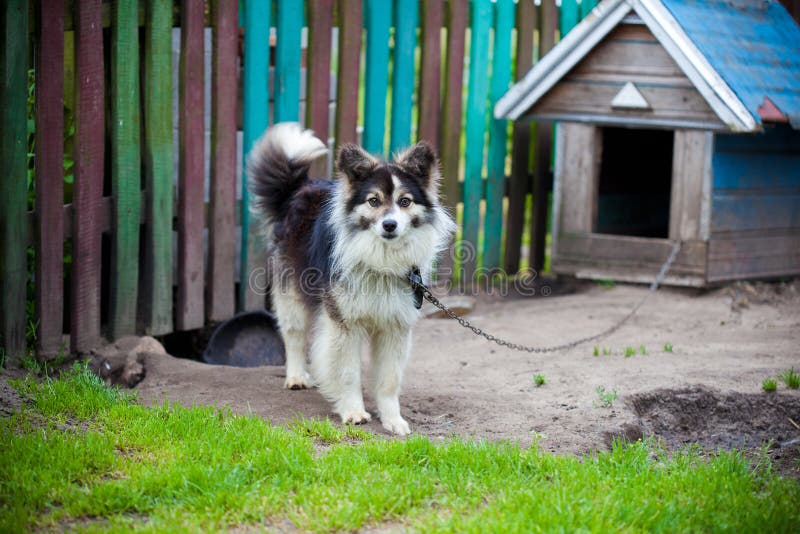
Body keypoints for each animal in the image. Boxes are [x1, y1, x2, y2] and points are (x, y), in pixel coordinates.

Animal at [244, 123, 456, 438]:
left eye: (405, 202)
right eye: (374, 201)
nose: (389, 225)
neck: (380, 259)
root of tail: (300, 189)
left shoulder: (395, 325)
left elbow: (389, 379)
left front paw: (392, 419)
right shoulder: (344, 323)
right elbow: (348, 372)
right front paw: (353, 411)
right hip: (291, 292)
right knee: (294, 335)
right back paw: (296, 376)